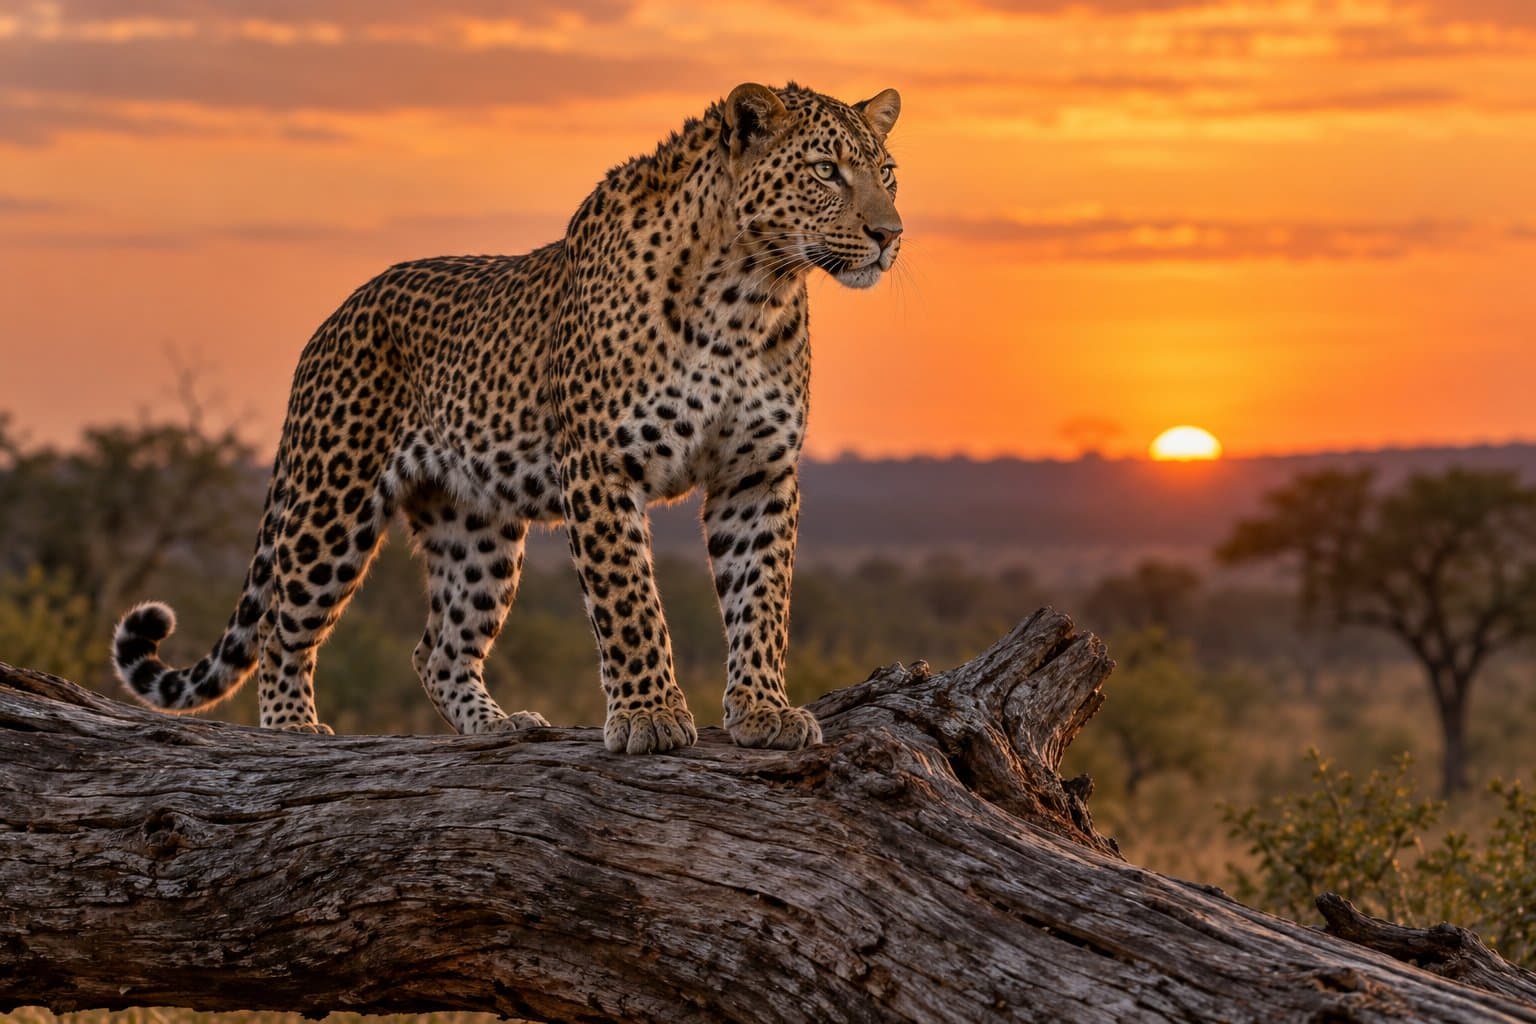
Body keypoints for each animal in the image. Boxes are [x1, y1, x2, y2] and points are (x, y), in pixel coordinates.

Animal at [111, 82, 903, 755]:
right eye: (827, 171)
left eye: (888, 173)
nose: (890, 233)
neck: (749, 293)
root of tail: (334, 317)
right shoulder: (601, 467)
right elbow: (630, 604)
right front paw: (649, 715)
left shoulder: (757, 474)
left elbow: (761, 598)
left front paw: (764, 709)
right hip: (331, 504)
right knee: (282, 625)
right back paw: (292, 730)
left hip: (476, 526)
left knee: (437, 647)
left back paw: (495, 726)